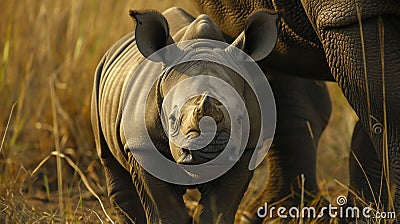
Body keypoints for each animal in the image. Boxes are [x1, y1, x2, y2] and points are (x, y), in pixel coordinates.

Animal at [92, 6, 276, 223]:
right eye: (172, 120)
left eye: (240, 120)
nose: (211, 152)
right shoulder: (142, 145)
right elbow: (166, 209)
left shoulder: (248, 147)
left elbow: (218, 208)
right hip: (100, 75)